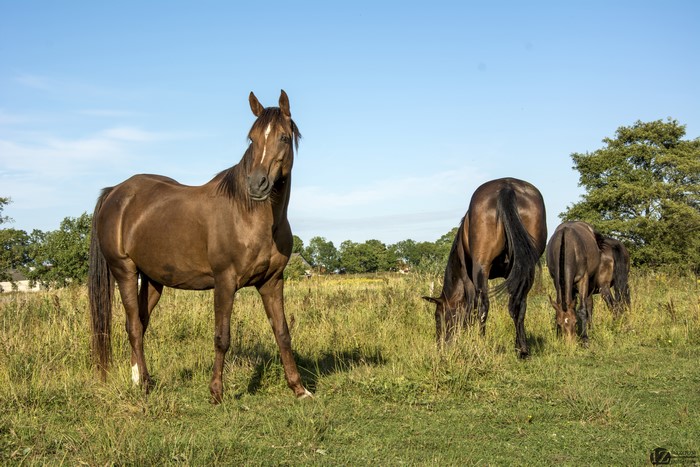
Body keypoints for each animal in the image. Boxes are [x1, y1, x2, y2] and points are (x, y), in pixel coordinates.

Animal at [88, 90, 312, 402]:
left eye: (283, 137)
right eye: (252, 138)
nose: (257, 184)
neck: (251, 216)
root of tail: (115, 193)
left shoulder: (272, 281)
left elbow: (282, 333)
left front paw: (299, 388)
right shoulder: (225, 282)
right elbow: (222, 338)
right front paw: (216, 393)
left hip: (153, 280)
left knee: (140, 325)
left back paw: (137, 378)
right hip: (125, 272)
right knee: (133, 326)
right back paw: (144, 384)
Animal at [423, 177, 547, 358]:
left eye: (438, 317)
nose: (441, 347)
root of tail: (507, 187)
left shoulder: (469, 280)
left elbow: (471, 308)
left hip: (481, 268)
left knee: (484, 306)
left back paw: (480, 344)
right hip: (525, 270)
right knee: (520, 306)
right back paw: (522, 350)